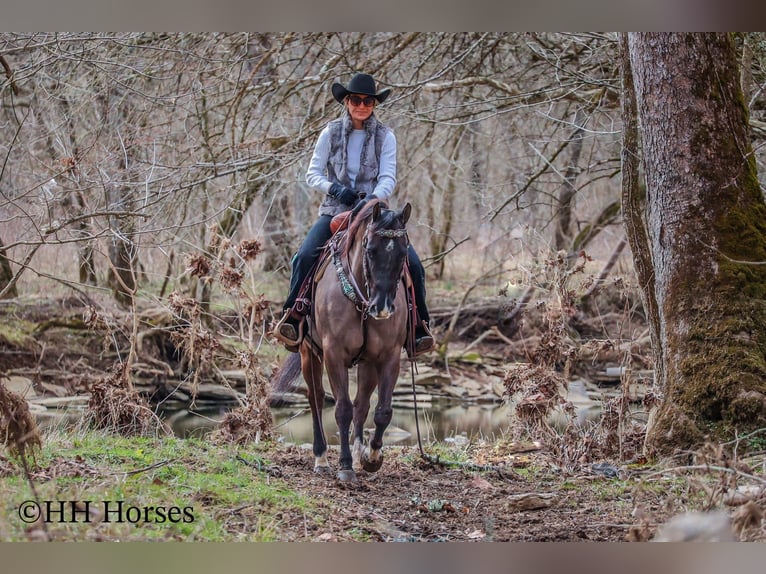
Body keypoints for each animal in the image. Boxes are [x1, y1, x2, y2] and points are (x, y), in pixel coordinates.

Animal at [272, 199, 412, 483]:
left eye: (404, 252)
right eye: (370, 250)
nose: (382, 307)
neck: (361, 299)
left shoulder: (388, 356)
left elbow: (382, 410)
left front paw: (371, 458)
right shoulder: (333, 354)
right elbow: (342, 409)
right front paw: (345, 466)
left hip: (367, 363)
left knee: (362, 403)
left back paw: (359, 453)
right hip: (309, 354)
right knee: (316, 398)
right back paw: (322, 458)